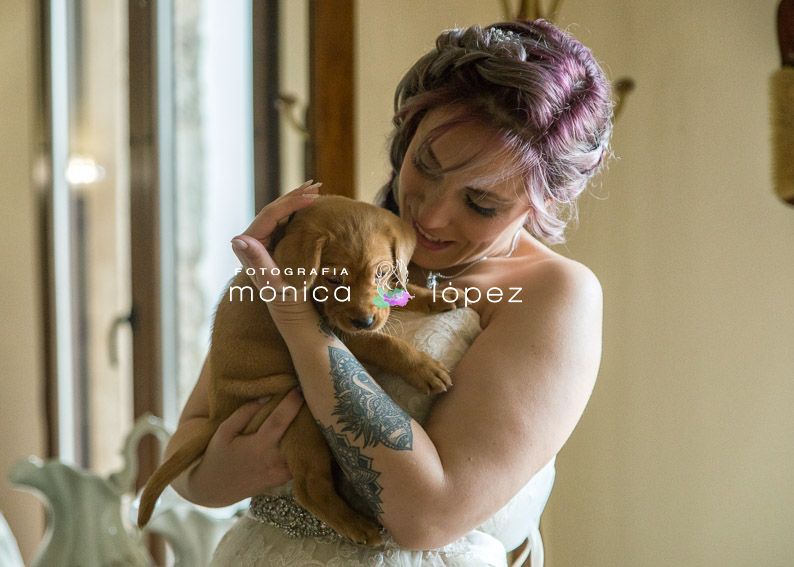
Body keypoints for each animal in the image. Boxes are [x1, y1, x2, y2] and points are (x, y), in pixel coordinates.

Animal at [137, 196, 458, 544]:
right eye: (333, 279)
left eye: (382, 272)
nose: (364, 321)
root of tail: (218, 416)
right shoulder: (340, 332)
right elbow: (385, 344)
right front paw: (424, 368)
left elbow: (402, 291)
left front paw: (435, 296)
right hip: (298, 407)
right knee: (309, 487)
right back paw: (358, 527)